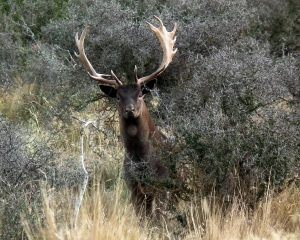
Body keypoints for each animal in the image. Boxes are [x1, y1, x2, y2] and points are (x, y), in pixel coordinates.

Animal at [75, 15, 177, 217]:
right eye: (118, 97)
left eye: (140, 94)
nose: (130, 109)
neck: (140, 158)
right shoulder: (132, 187)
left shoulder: (163, 183)